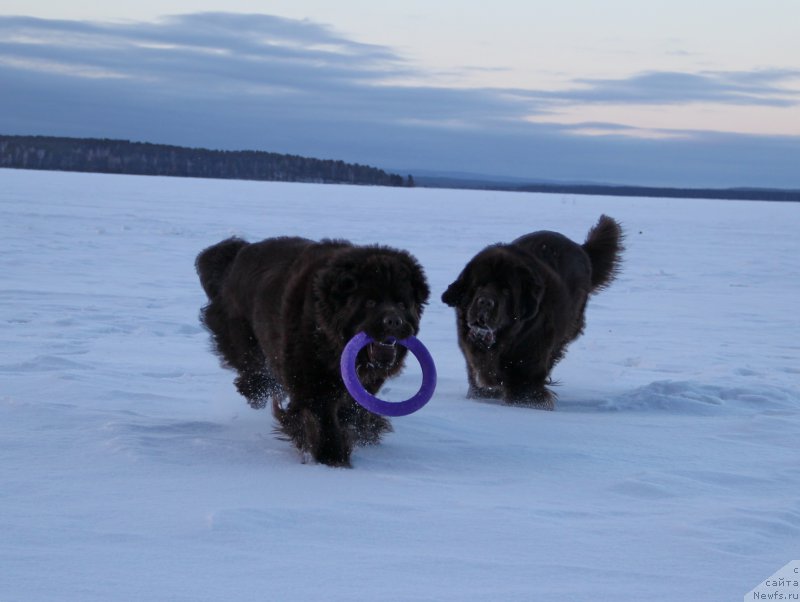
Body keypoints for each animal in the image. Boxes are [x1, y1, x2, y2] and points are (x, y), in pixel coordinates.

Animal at [196, 234, 428, 464]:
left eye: (402, 304)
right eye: (370, 302)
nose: (394, 322)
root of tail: (237, 254)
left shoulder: (363, 386)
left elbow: (351, 412)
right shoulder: (313, 383)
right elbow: (322, 419)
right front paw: (332, 457)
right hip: (242, 338)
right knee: (252, 369)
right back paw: (255, 391)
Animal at [440, 214, 620, 408]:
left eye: (506, 290)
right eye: (479, 285)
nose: (485, 302)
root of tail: (581, 248)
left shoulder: (528, 355)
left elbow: (524, 386)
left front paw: (527, 403)